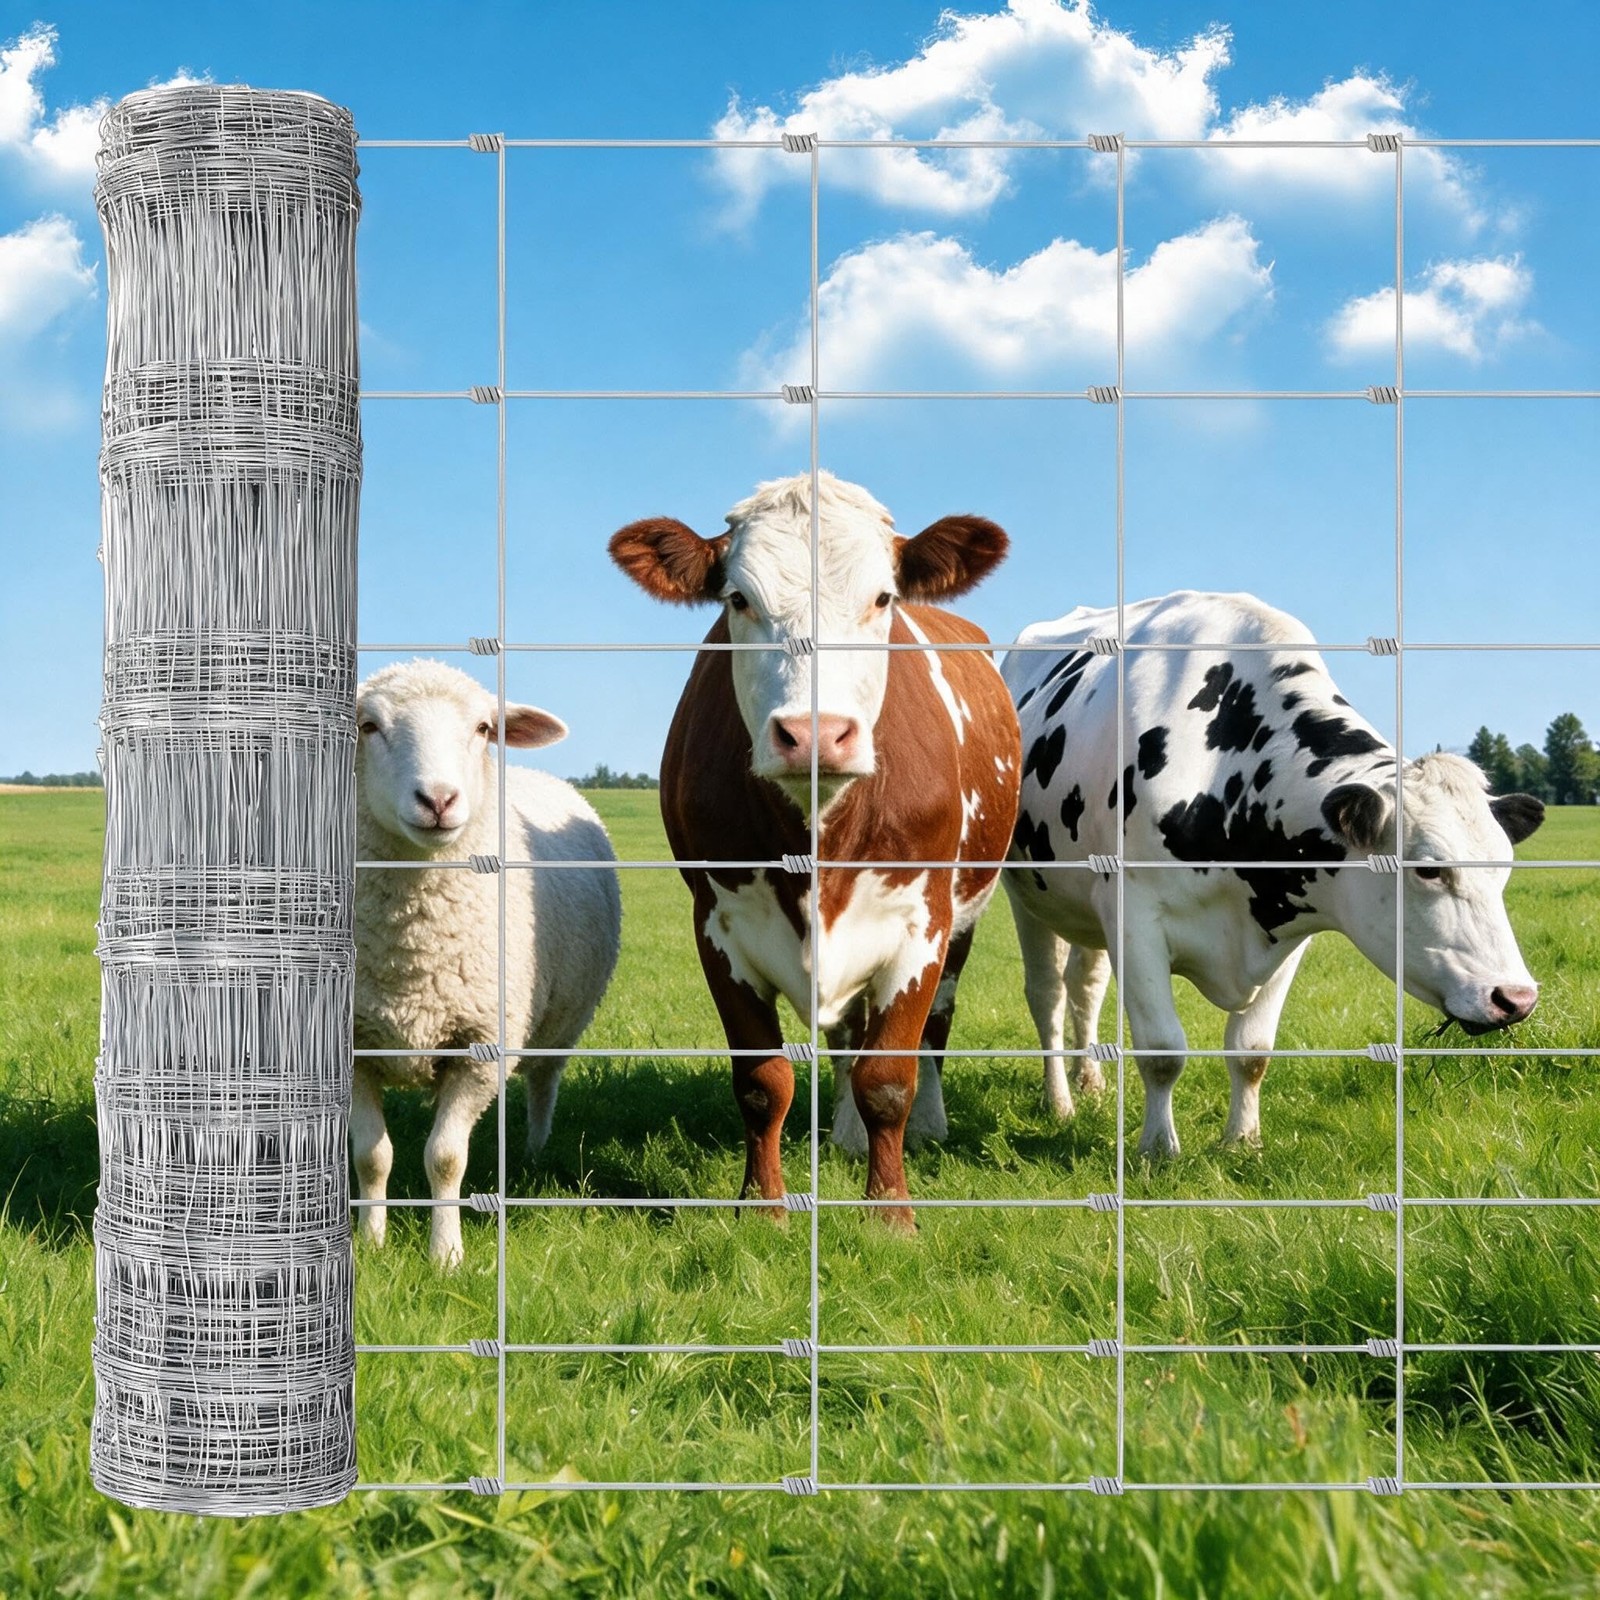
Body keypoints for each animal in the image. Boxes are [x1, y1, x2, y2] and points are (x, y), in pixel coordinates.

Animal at [608, 471, 1022, 1226]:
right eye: (738, 599)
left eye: (883, 598)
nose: (815, 734)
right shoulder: (718, 925)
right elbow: (762, 1081)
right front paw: (762, 1208)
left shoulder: (922, 921)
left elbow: (889, 1077)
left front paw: (890, 1215)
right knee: (846, 1038)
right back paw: (845, 1135)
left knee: (933, 1030)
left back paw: (926, 1127)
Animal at [1000, 590, 1545, 1158]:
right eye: (1429, 870)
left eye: (1504, 870)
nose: (1517, 998)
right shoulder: (1135, 920)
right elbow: (1163, 1050)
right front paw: (1157, 1150)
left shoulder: (1288, 926)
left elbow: (1252, 1050)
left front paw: (1242, 1141)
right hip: (1025, 895)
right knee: (1047, 995)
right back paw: (1060, 1102)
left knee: (1085, 985)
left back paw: (1090, 1083)